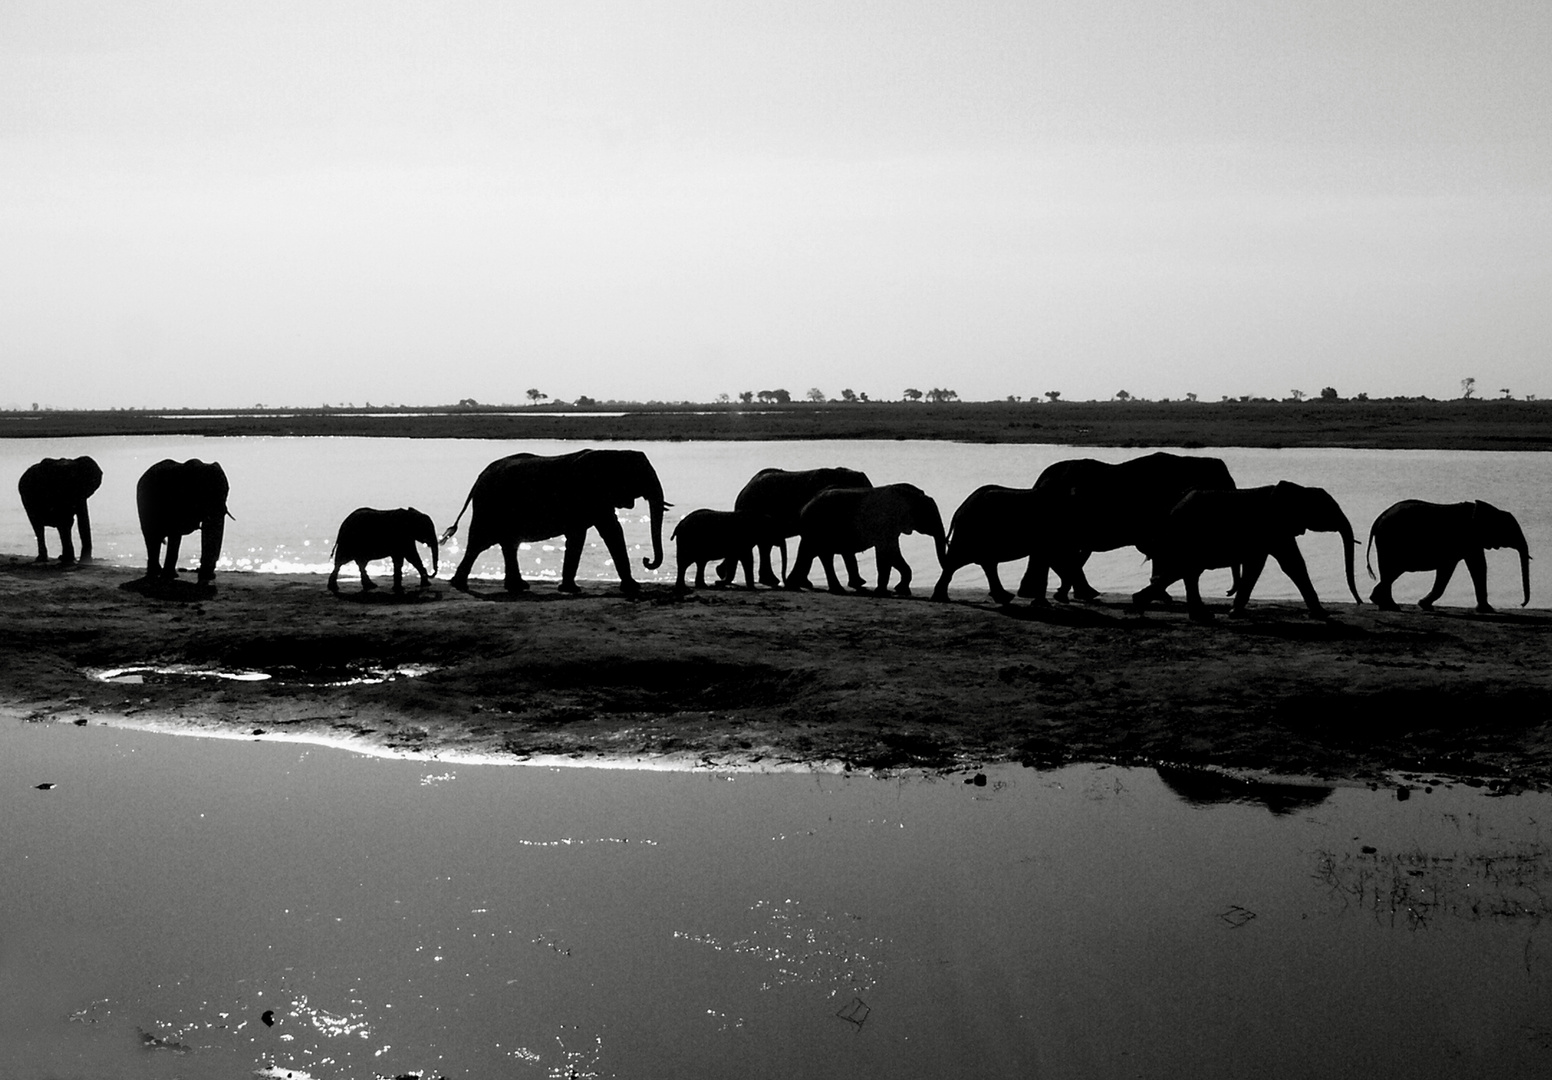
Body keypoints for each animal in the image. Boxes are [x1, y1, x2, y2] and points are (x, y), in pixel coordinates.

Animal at [446, 450, 670, 598]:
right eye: (641, 475)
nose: (647, 560)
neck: (612, 454)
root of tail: (478, 479)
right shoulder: (588, 494)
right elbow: (594, 532)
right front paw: (572, 590)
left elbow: (607, 531)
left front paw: (632, 587)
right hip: (489, 506)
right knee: (480, 542)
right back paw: (460, 584)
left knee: (508, 544)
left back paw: (517, 586)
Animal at [788, 484, 943, 595]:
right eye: (931, 516)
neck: (912, 495)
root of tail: (804, 508)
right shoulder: (885, 523)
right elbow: (886, 553)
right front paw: (884, 592)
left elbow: (892, 553)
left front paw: (901, 590)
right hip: (818, 527)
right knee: (820, 554)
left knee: (813, 553)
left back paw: (795, 586)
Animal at [1129, 477, 1359, 620]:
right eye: (1328, 510)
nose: (1358, 601)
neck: (1300, 489)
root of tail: (1172, 508)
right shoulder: (1273, 527)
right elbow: (1285, 564)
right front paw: (1323, 615)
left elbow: (1270, 565)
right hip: (1189, 533)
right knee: (1188, 569)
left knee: (1189, 571)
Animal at [1371, 499, 1527, 611]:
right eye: (1511, 530)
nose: (1521, 604)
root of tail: (1378, 518)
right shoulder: (1468, 539)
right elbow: (1475, 567)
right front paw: (1488, 610)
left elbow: (1469, 567)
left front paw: (1424, 605)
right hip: (1390, 541)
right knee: (1393, 570)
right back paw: (1388, 605)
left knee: (1390, 572)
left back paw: (1382, 603)